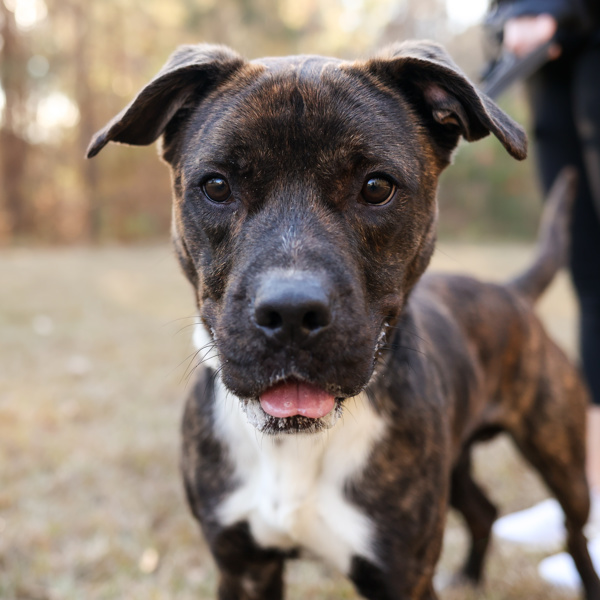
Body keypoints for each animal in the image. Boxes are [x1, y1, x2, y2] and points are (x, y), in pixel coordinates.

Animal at [88, 39, 600, 596]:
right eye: (217, 186)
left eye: (376, 187)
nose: (290, 312)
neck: (296, 446)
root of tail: (510, 291)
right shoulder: (242, 567)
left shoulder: (401, 574)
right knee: (484, 510)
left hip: (561, 462)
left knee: (574, 534)